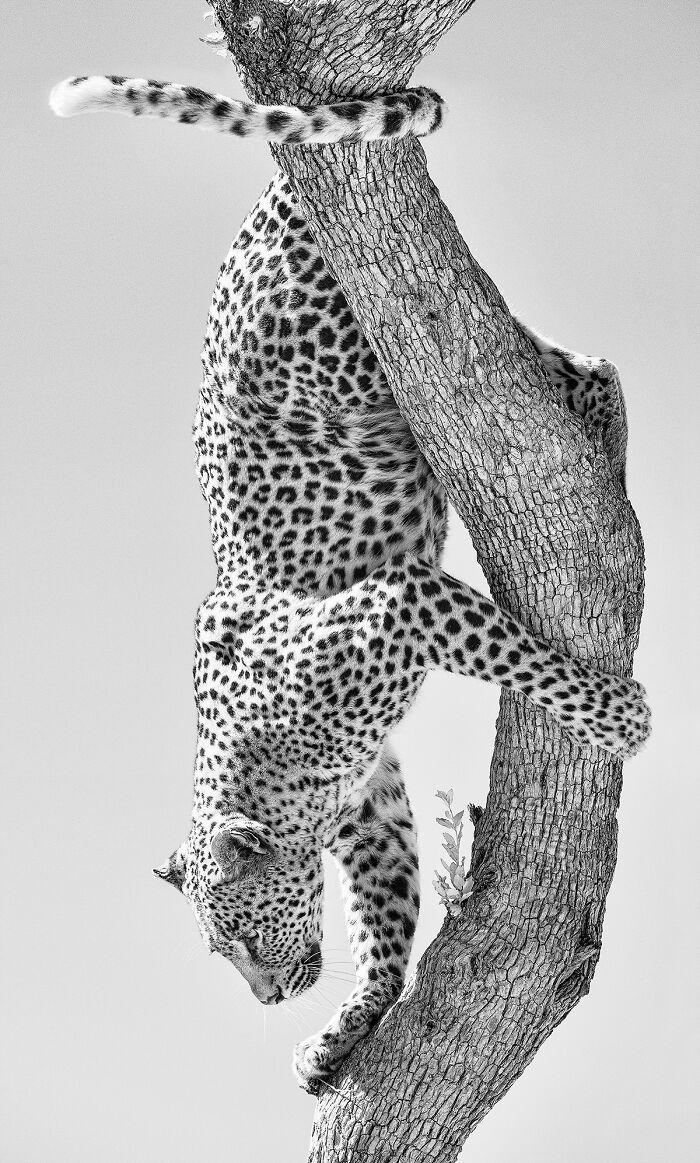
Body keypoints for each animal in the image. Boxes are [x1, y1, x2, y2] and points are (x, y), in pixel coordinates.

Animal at [51, 71, 650, 1093]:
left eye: (240, 936)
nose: (265, 997)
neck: (272, 774)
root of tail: (274, 192)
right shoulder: (373, 800)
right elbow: (386, 914)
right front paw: (347, 1028)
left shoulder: (398, 602)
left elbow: (523, 660)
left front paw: (618, 719)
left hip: (358, 348)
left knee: (550, 361)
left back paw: (594, 440)